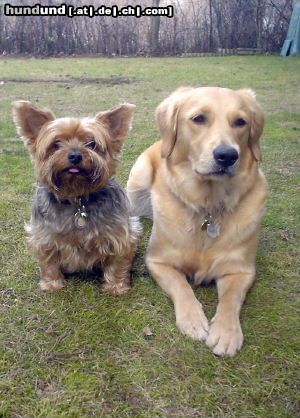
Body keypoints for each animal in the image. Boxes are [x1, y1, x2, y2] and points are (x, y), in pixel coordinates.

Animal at [13, 101, 141, 294]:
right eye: (56, 144)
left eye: (91, 144)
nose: (75, 155)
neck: (77, 198)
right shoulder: (45, 236)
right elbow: (49, 262)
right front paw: (52, 284)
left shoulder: (120, 235)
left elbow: (118, 262)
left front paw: (116, 287)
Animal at [126, 87, 268, 356]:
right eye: (199, 118)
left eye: (241, 122)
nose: (227, 156)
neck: (207, 207)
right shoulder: (157, 261)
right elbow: (181, 285)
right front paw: (192, 319)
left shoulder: (241, 270)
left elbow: (231, 299)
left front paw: (226, 332)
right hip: (138, 179)